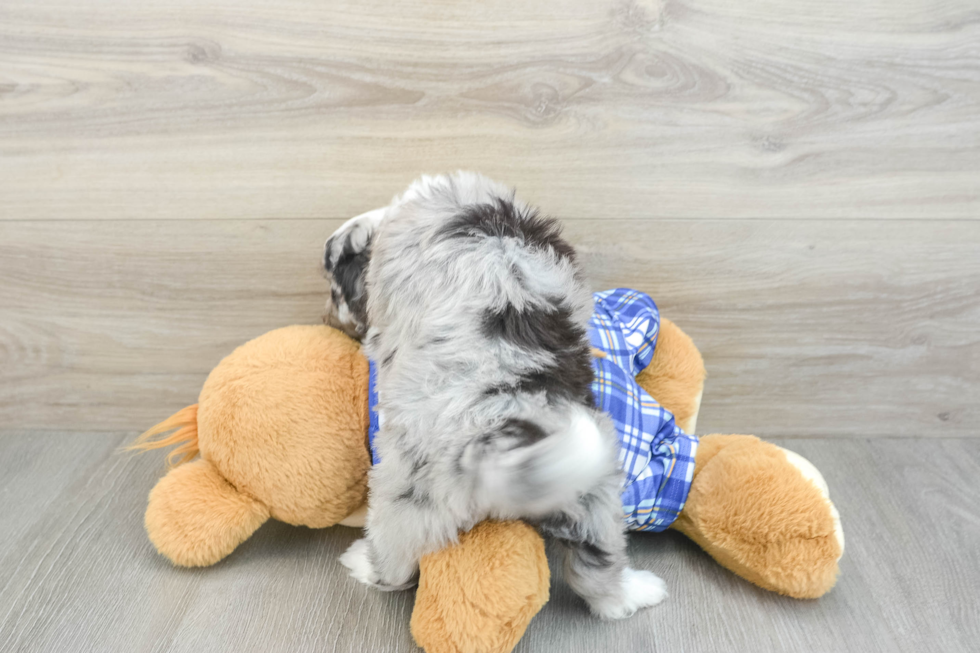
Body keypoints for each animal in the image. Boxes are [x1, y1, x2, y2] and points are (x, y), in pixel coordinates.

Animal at [322, 172, 668, 616]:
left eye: (334, 289)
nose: (326, 316)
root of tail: (497, 435)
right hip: (593, 493)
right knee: (599, 577)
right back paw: (636, 591)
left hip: (406, 493)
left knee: (397, 566)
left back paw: (362, 563)